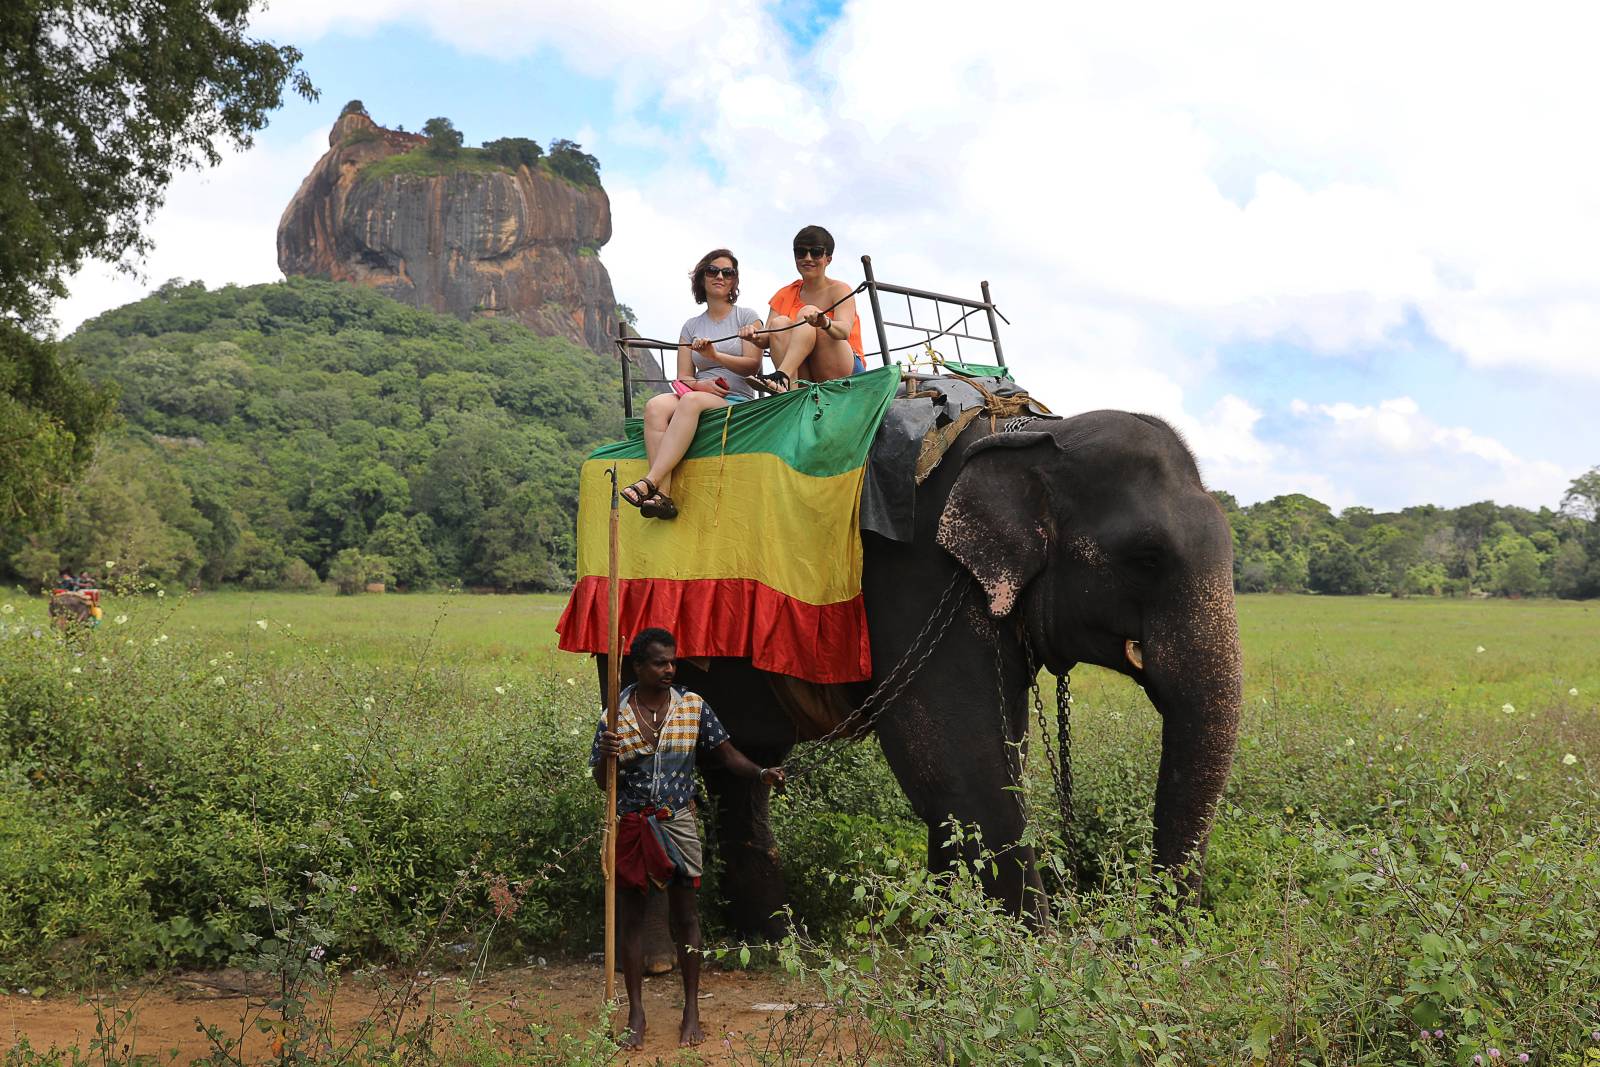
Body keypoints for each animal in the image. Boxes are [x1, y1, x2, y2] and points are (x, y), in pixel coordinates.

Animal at [599, 408, 1243, 937]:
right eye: (1147, 557)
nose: (1139, 936)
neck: (1033, 436)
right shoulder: (916, 570)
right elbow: (956, 757)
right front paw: (1026, 956)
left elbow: (994, 751)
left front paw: (951, 936)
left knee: (743, 764)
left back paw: (770, 940)